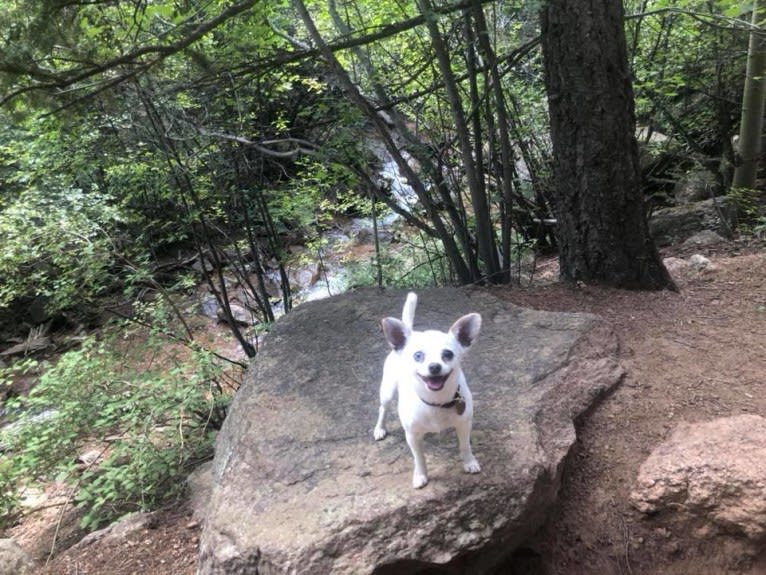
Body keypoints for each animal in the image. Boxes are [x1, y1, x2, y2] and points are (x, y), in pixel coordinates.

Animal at [376, 294, 484, 488]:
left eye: (448, 354)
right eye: (418, 356)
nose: (434, 366)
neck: (436, 401)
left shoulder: (464, 424)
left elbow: (465, 446)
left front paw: (469, 462)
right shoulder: (412, 435)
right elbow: (419, 457)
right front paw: (420, 475)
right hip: (387, 392)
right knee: (383, 408)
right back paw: (379, 428)